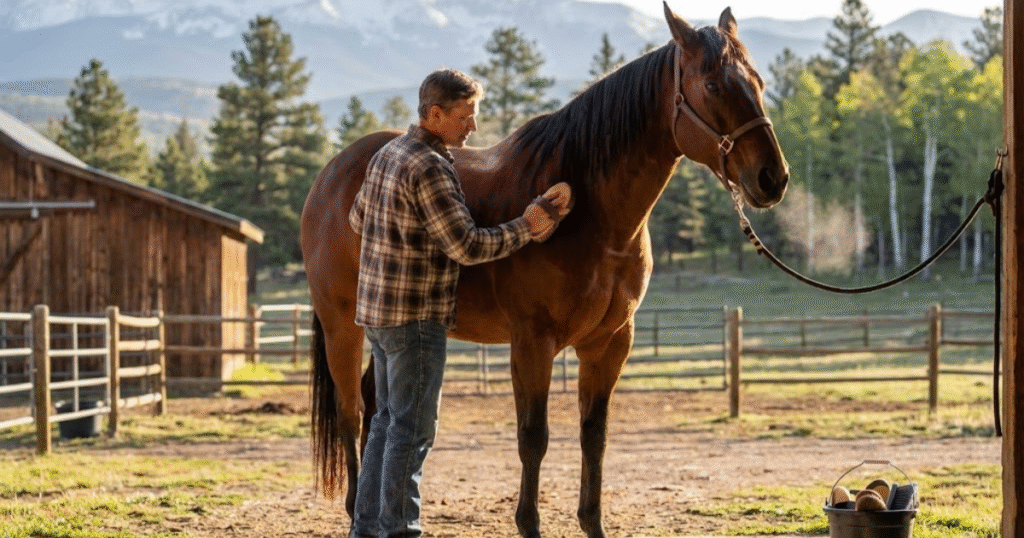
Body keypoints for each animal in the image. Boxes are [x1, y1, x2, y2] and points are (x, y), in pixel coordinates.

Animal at [300, 3, 788, 537]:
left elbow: (594, 435)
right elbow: (533, 437)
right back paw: (354, 508)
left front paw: (592, 523)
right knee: (350, 410)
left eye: (759, 82)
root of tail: (331, 175)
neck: (596, 217)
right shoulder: (532, 342)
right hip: (342, 325)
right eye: (715, 85)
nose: (773, 178)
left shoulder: (609, 342)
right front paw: (529, 523)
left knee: (376, 408)